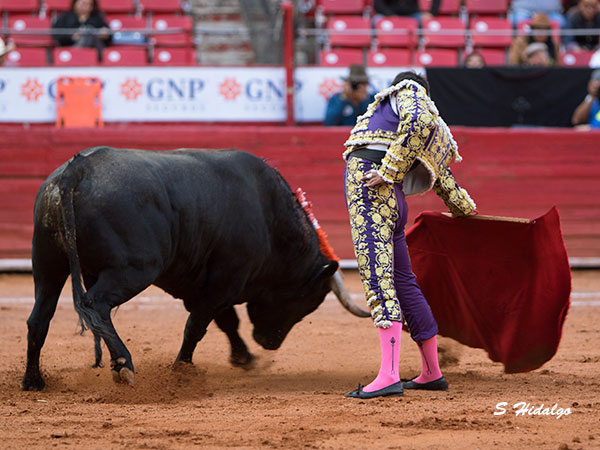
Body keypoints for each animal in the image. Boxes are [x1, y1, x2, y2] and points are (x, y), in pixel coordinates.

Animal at [21, 147, 369, 391]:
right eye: (306, 302)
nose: (270, 342)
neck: (270, 217)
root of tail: (76, 169)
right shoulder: (225, 281)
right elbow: (198, 325)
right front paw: (182, 369)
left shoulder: (208, 284)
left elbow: (225, 322)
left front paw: (244, 358)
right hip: (133, 270)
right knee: (96, 305)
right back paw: (123, 365)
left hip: (48, 265)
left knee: (40, 318)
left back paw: (34, 381)